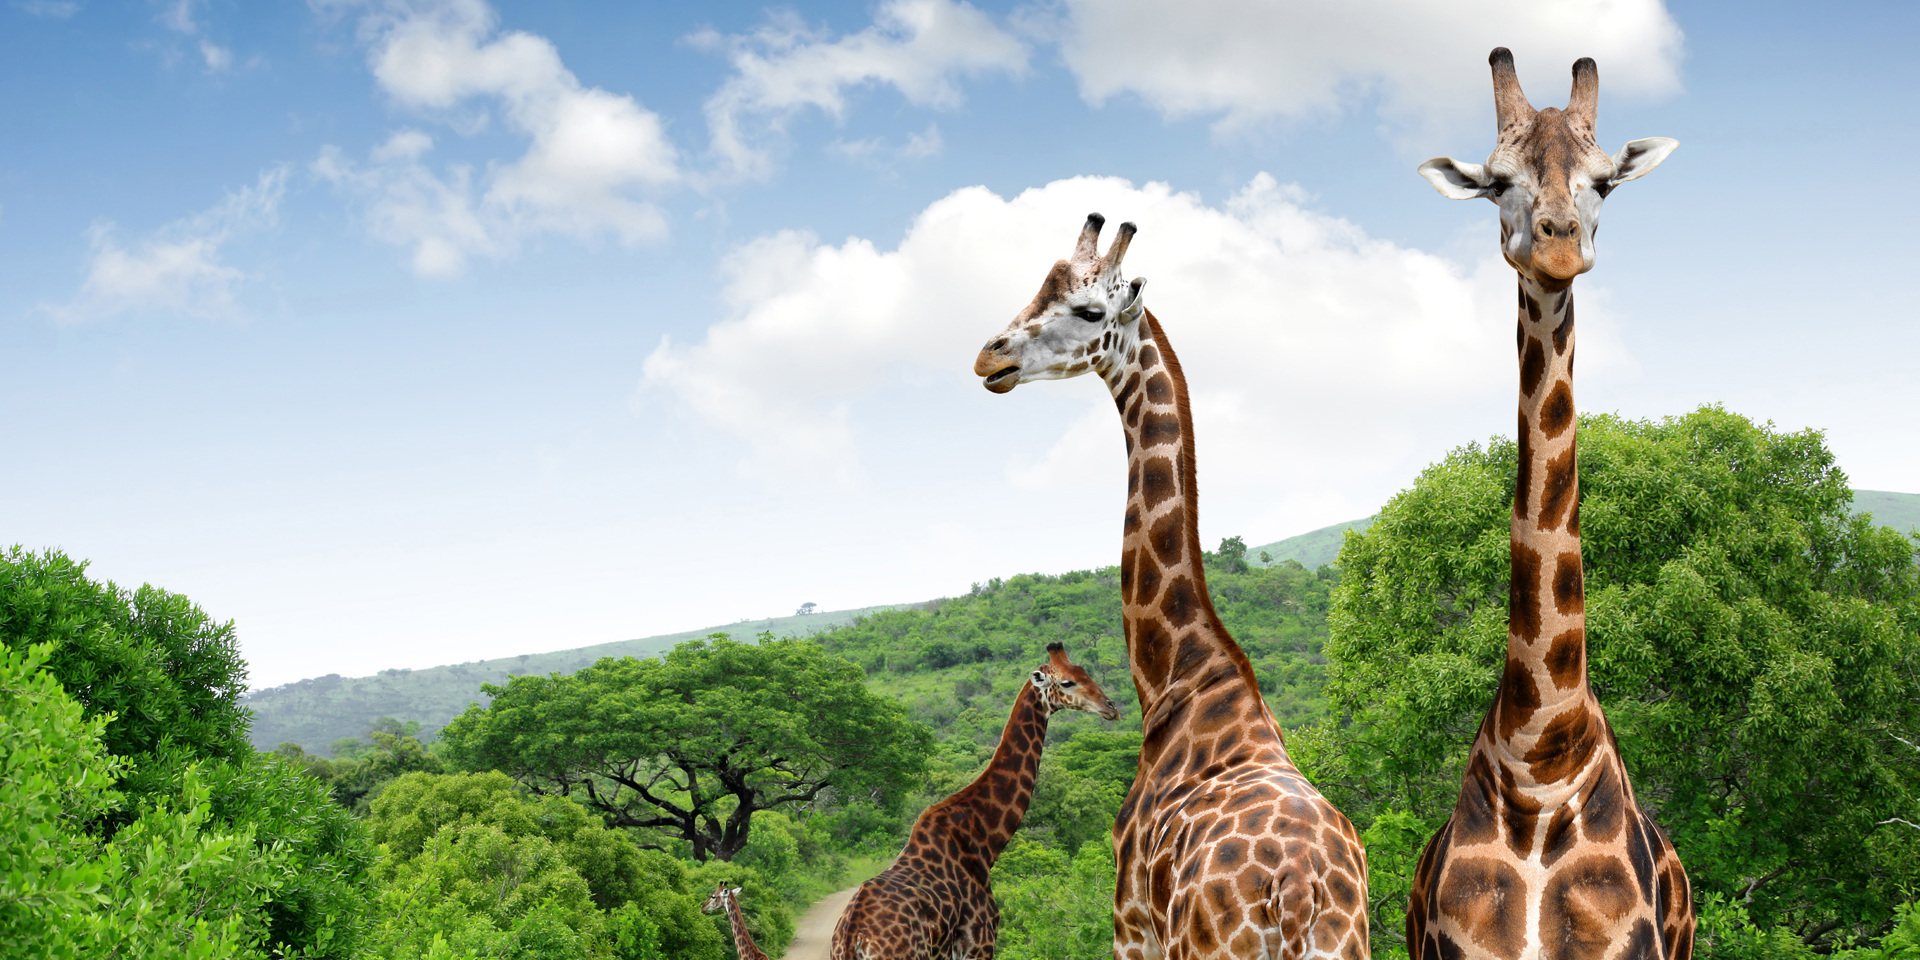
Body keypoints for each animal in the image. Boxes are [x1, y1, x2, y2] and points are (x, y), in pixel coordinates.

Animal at [829, 641, 1121, 960]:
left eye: (1085, 671)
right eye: (1068, 682)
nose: (1111, 708)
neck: (983, 840)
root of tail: (853, 940)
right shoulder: (979, 942)